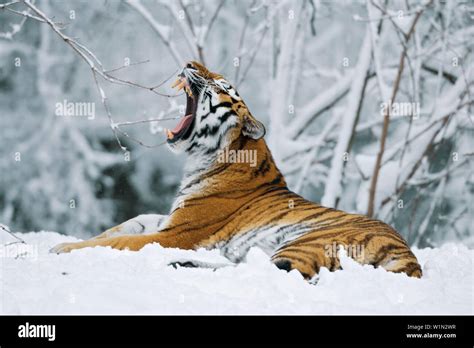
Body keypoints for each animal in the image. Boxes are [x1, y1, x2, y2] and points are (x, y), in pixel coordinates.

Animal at [51, 60, 422, 280]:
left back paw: (180, 265)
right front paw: (73, 242)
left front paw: (62, 250)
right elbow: (126, 225)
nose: (190, 63)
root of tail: (409, 257)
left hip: (304, 243)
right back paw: (181, 264)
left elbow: (122, 240)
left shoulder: (176, 233)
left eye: (222, 86)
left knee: (266, 275)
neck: (204, 158)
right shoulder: (167, 220)